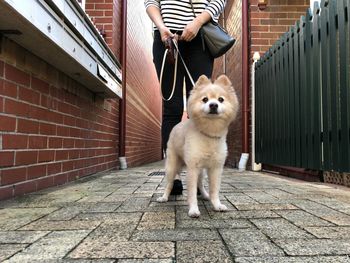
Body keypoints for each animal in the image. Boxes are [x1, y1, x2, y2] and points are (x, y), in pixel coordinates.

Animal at [157, 75, 239, 219]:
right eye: (205, 99)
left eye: (221, 99)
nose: (213, 105)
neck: (209, 133)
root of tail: (177, 125)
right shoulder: (192, 168)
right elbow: (192, 192)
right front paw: (193, 210)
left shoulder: (215, 168)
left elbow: (214, 190)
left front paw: (216, 205)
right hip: (172, 166)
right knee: (169, 183)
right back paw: (164, 197)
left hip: (201, 170)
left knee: (200, 183)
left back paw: (205, 195)